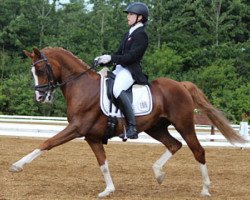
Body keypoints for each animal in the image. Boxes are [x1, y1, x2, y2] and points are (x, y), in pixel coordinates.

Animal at [9, 47, 244, 198]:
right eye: (33, 71)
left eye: (40, 70)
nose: (40, 97)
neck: (82, 86)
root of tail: (181, 85)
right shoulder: (92, 137)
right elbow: (102, 163)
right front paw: (108, 190)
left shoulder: (76, 129)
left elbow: (46, 143)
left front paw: (16, 166)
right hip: (155, 128)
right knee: (174, 145)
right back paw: (159, 174)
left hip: (184, 125)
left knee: (197, 150)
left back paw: (205, 189)